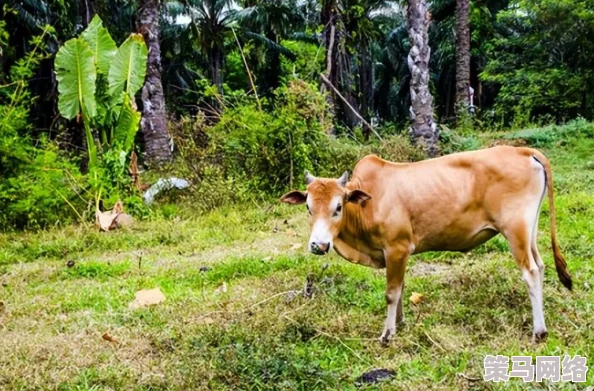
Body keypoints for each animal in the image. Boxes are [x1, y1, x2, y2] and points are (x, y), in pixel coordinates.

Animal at [280, 145, 568, 344]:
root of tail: (523, 150)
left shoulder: (396, 249)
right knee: (541, 266)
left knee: (530, 272)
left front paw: (387, 334)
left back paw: (539, 331)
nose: (318, 245)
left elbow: (391, 292)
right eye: (308, 207)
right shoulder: (395, 253)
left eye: (338, 207)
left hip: (515, 230)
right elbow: (400, 289)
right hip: (529, 231)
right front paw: (400, 324)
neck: (367, 203)